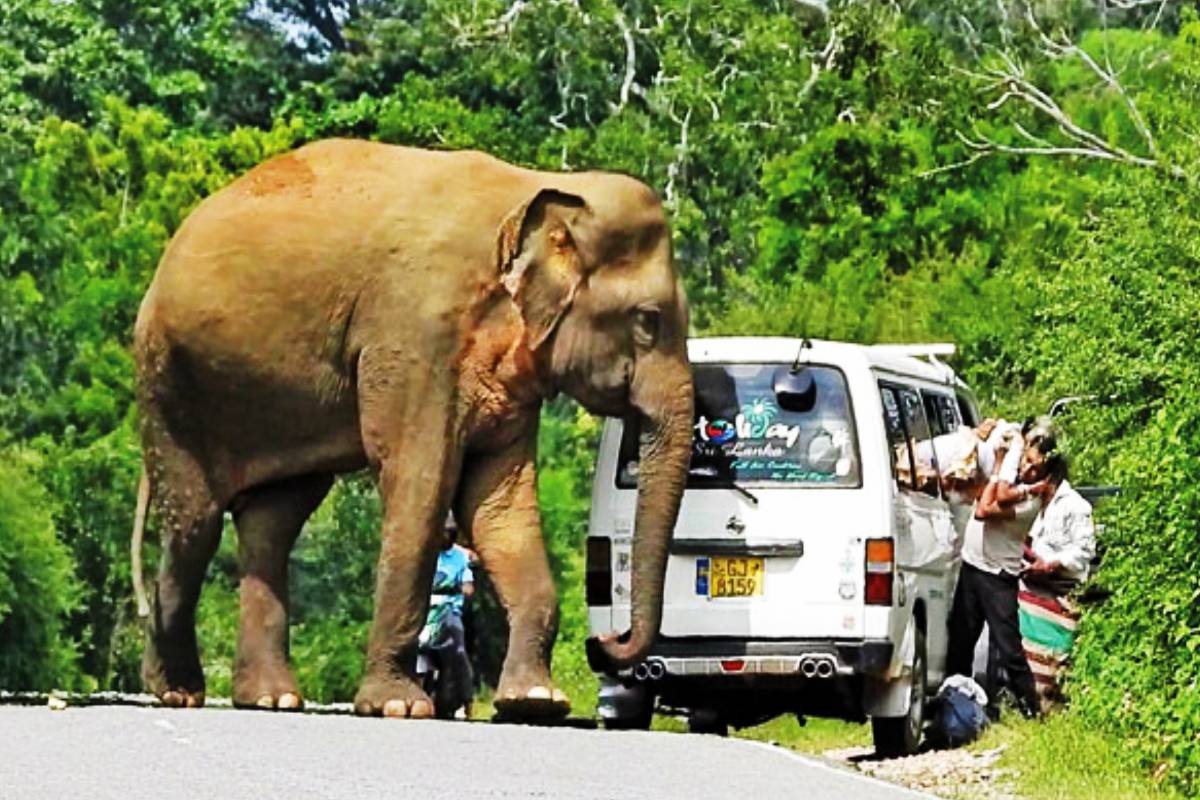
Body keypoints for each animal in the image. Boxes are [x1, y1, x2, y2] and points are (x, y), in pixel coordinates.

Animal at [128, 139, 693, 720]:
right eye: (647, 320)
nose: (605, 642)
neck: (537, 190)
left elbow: (499, 502)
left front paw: (535, 703)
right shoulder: (415, 339)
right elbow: (422, 482)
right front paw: (399, 707)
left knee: (273, 520)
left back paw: (269, 698)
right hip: (172, 380)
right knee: (195, 522)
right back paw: (177, 692)